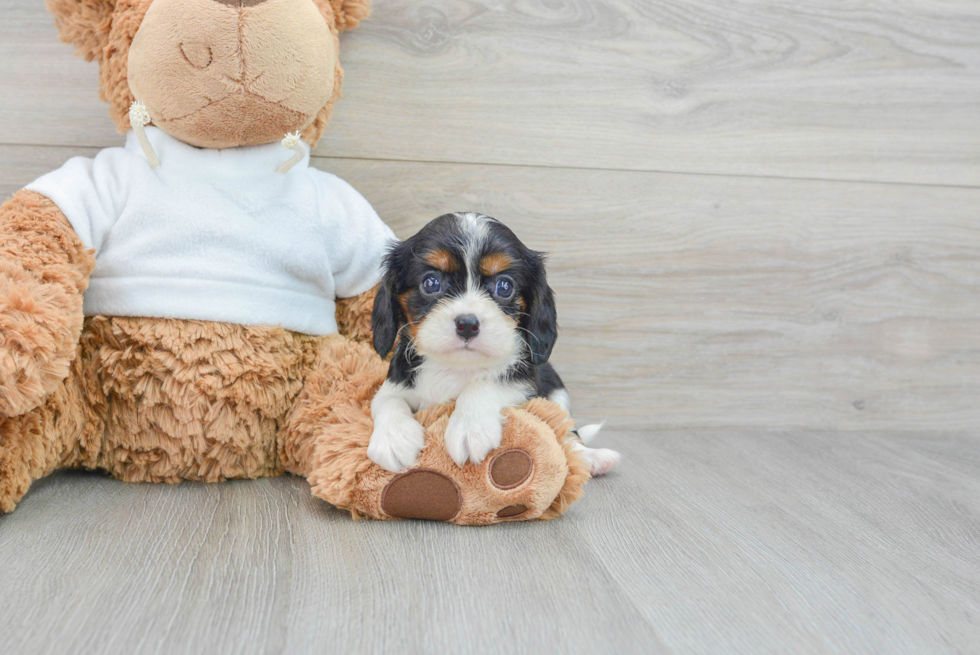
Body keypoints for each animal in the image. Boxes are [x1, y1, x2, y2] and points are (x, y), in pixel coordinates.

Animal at [368, 214, 620, 476]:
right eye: (431, 283)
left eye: (504, 286)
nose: (467, 324)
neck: (457, 367)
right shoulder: (394, 385)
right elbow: (387, 401)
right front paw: (393, 438)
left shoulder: (525, 384)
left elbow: (485, 384)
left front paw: (470, 429)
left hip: (557, 391)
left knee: (568, 433)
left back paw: (593, 458)